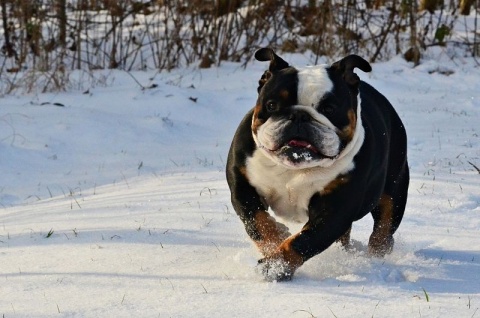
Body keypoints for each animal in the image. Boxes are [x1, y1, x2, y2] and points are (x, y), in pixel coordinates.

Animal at [226, 47, 408, 280]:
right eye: (272, 105)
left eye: (329, 109)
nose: (299, 115)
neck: (295, 167)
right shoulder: (242, 184)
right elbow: (257, 222)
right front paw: (276, 239)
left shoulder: (336, 208)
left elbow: (304, 241)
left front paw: (275, 266)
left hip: (394, 189)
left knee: (384, 228)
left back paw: (375, 259)